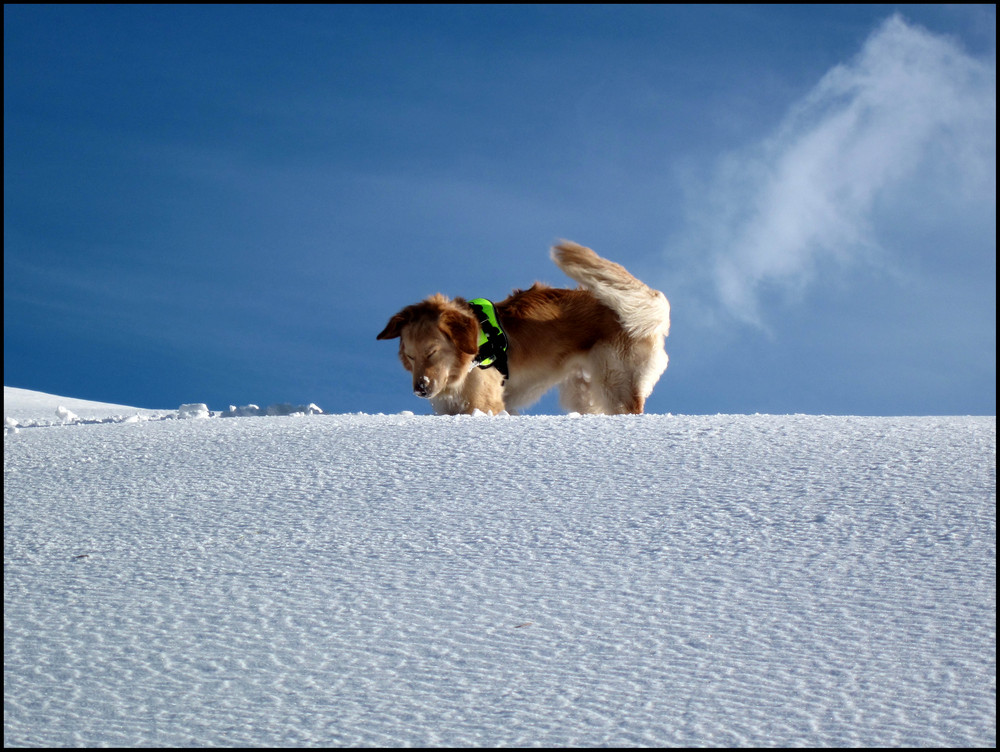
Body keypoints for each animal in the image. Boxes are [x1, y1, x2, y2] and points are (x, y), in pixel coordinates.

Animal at [376, 241, 672, 414]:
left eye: (432, 352)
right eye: (410, 356)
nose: (421, 389)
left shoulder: (485, 404)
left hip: (615, 382)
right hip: (584, 392)